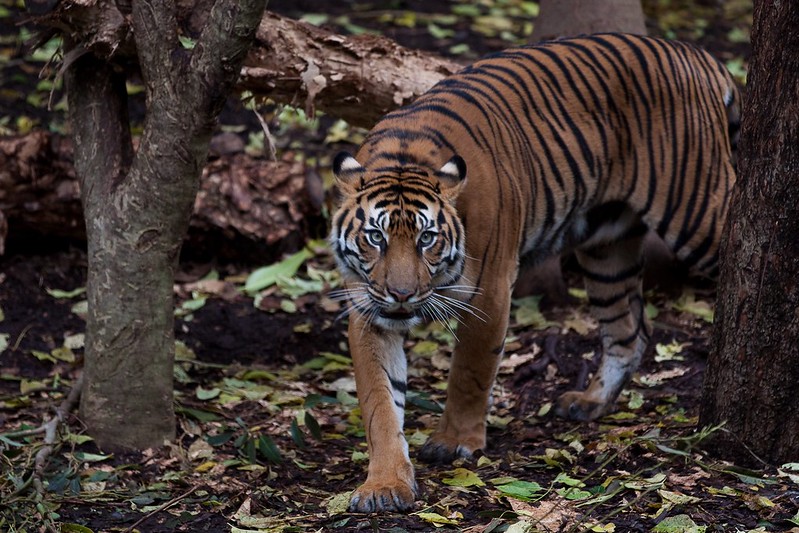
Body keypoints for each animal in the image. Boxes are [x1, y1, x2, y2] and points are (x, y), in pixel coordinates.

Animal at [328, 32, 740, 512]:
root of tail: (698, 55)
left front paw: (455, 441)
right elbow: (379, 401)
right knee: (629, 333)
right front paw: (385, 484)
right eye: (375, 238)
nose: (402, 294)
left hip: (698, 211)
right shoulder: (368, 309)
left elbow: (469, 373)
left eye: (427, 238)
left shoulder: (489, 293)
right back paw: (589, 401)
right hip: (607, 251)